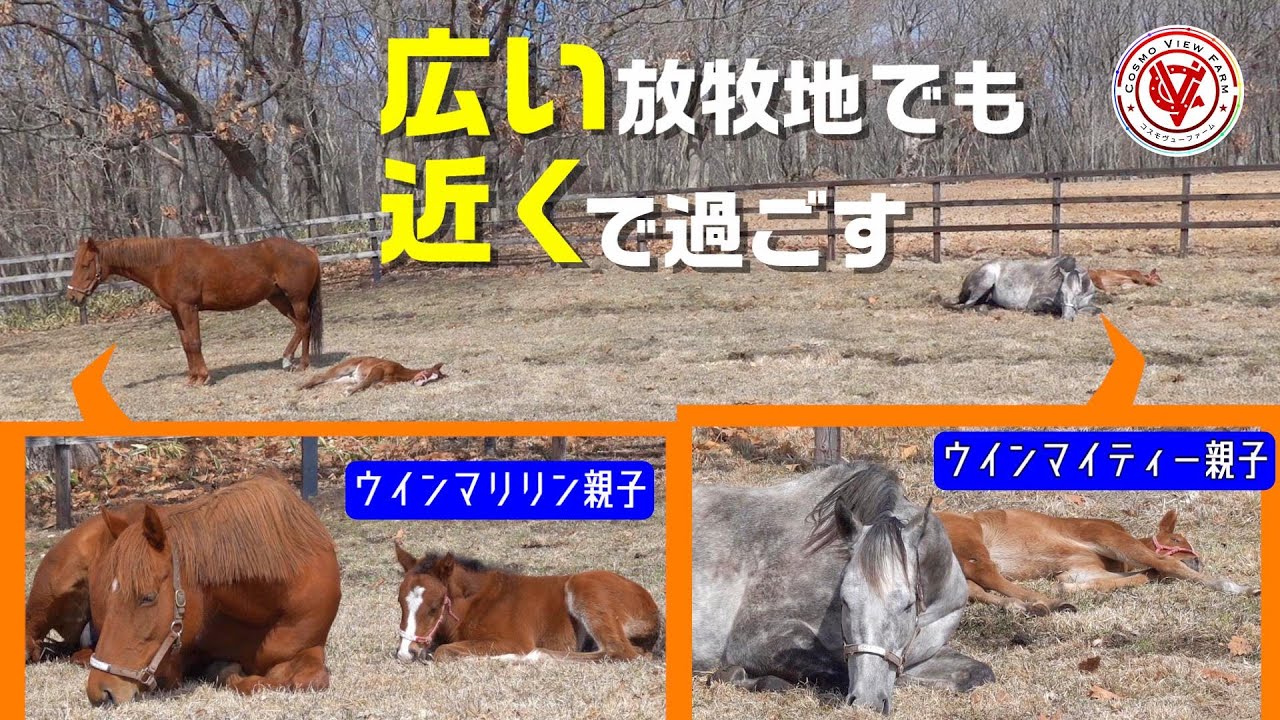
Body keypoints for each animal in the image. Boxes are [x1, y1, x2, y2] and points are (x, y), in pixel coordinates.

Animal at [65, 236, 323, 385]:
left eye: (86, 265)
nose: (73, 297)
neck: (164, 262)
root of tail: (309, 251)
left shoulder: (188, 308)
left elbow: (195, 342)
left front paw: (204, 378)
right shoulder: (176, 311)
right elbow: (186, 344)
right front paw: (193, 377)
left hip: (297, 298)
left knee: (304, 324)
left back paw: (294, 362)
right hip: (278, 298)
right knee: (302, 326)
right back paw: (298, 362)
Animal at [393, 544, 661, 663]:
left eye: (435, 607)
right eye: (400, 602)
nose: (406, 653)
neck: (477, 603)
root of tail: (650, 606)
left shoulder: (513, 640)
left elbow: (443, 651)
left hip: (585, 589)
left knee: (621, 652)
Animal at [693, 461, 992, 715]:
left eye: (908, 605)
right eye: (845, 601)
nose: (867, 702)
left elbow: (979, 673)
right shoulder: (755, 639)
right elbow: (838, 672)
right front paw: (737, 677)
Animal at [939, 508, 1258, 616]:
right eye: (1177, 538)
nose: (1197, 560)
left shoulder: (1078, 571)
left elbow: (1139, 575)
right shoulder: (1107, 535)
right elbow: (1165, 565)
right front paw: (1238, 587)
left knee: (972, 588)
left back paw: (1019, 605)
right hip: (970, 542)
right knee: (986, 573)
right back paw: (1044, 602)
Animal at [947, 256, 1098, 320]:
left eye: (1078, 293)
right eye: (1061, 292)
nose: (1066, 318)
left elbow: (1097, 310)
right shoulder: (1035, 301)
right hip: (985, 281)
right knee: (965, 306)